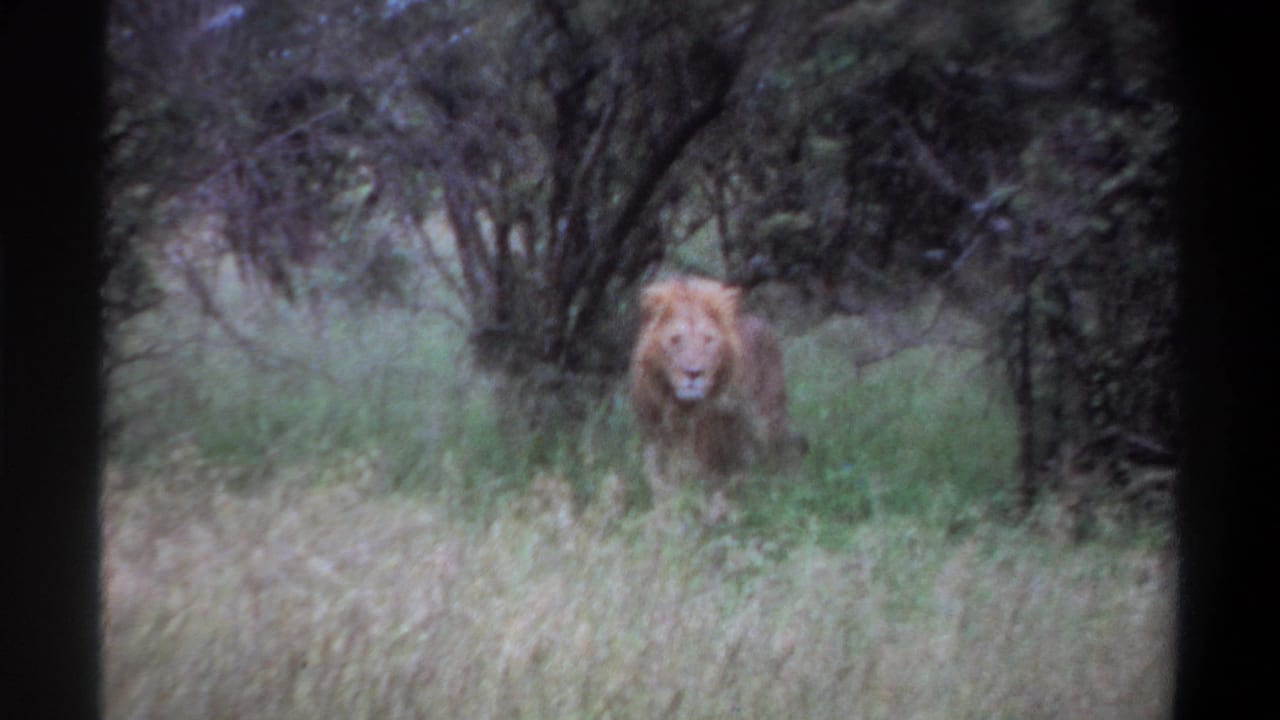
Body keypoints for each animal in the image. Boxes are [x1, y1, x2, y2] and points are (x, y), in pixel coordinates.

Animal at [629, 276, 803, 496]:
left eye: (708, 340)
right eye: (676, 339)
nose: (694, 372)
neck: (683, 408)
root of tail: (760, 321)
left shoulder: (715, 458)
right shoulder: (656, 444)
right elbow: (663, 485)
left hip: (769, 421)